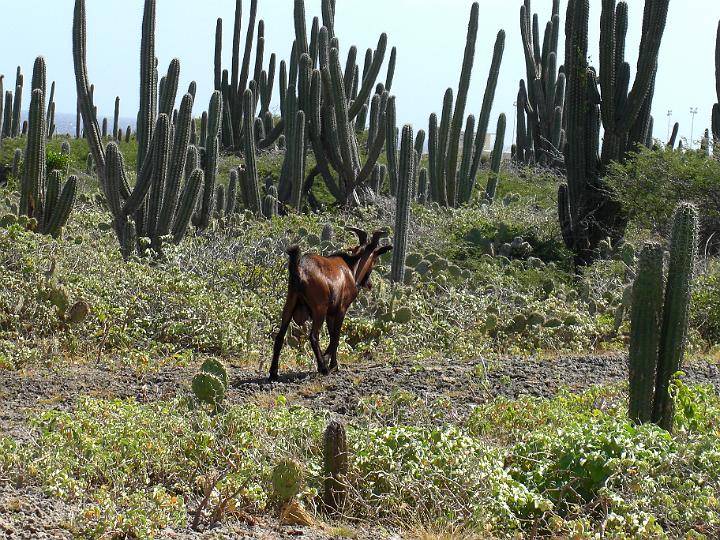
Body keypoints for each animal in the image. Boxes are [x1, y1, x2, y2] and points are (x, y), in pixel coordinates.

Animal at [270, 230, 394, 382]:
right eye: (375, 259)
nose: (368, 284)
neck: (350, 268)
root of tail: (300, 270)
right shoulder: (341, 310)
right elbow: (336, 335)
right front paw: (333, 364)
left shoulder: (330, 313)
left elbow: (331, 334)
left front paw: (327, 358)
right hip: (319, 310)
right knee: (313, 336)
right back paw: (323, 368)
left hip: (290, 305)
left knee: (279, 337)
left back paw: (273, 373)